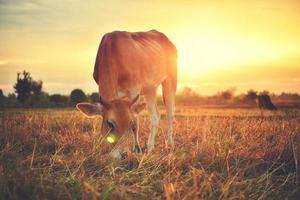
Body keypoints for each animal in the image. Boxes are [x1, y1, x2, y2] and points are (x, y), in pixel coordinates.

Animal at [76, 29, 177, 158]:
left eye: (130, 123)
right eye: (110, 124)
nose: (123, 154)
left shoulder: (134, 90)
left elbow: (137, 121)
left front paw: (137, 149)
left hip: (170, 81)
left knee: (170, 114)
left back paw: (170, 145)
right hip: (150, 89)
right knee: (155, 116)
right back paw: (150, 147)